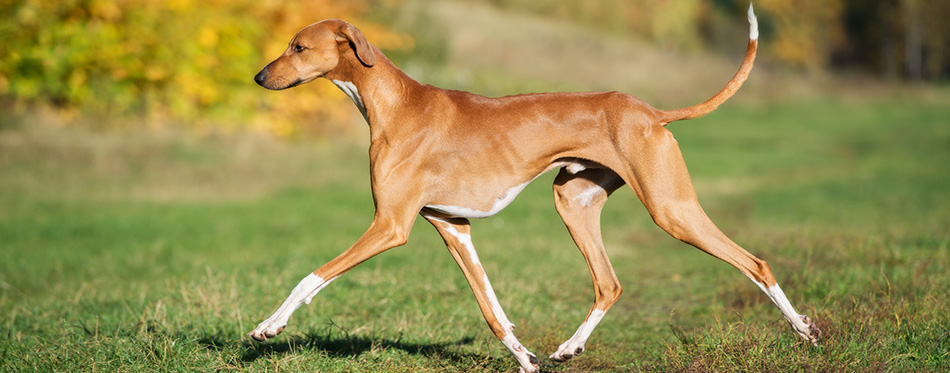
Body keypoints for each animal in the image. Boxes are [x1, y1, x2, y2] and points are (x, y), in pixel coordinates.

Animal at [249, 4, 820, 370]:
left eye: (298, 47)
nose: (258, 77)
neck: (395, 105)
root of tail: (650, 111)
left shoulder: (389, 226)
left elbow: (310, 277)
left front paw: (268, 328)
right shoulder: (453, 227)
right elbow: (493, 311)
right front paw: (525, 359)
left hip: (671, 207)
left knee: (755, 263)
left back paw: (806, 332)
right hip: (573, 202)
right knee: (609, 283)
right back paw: (569, 348)